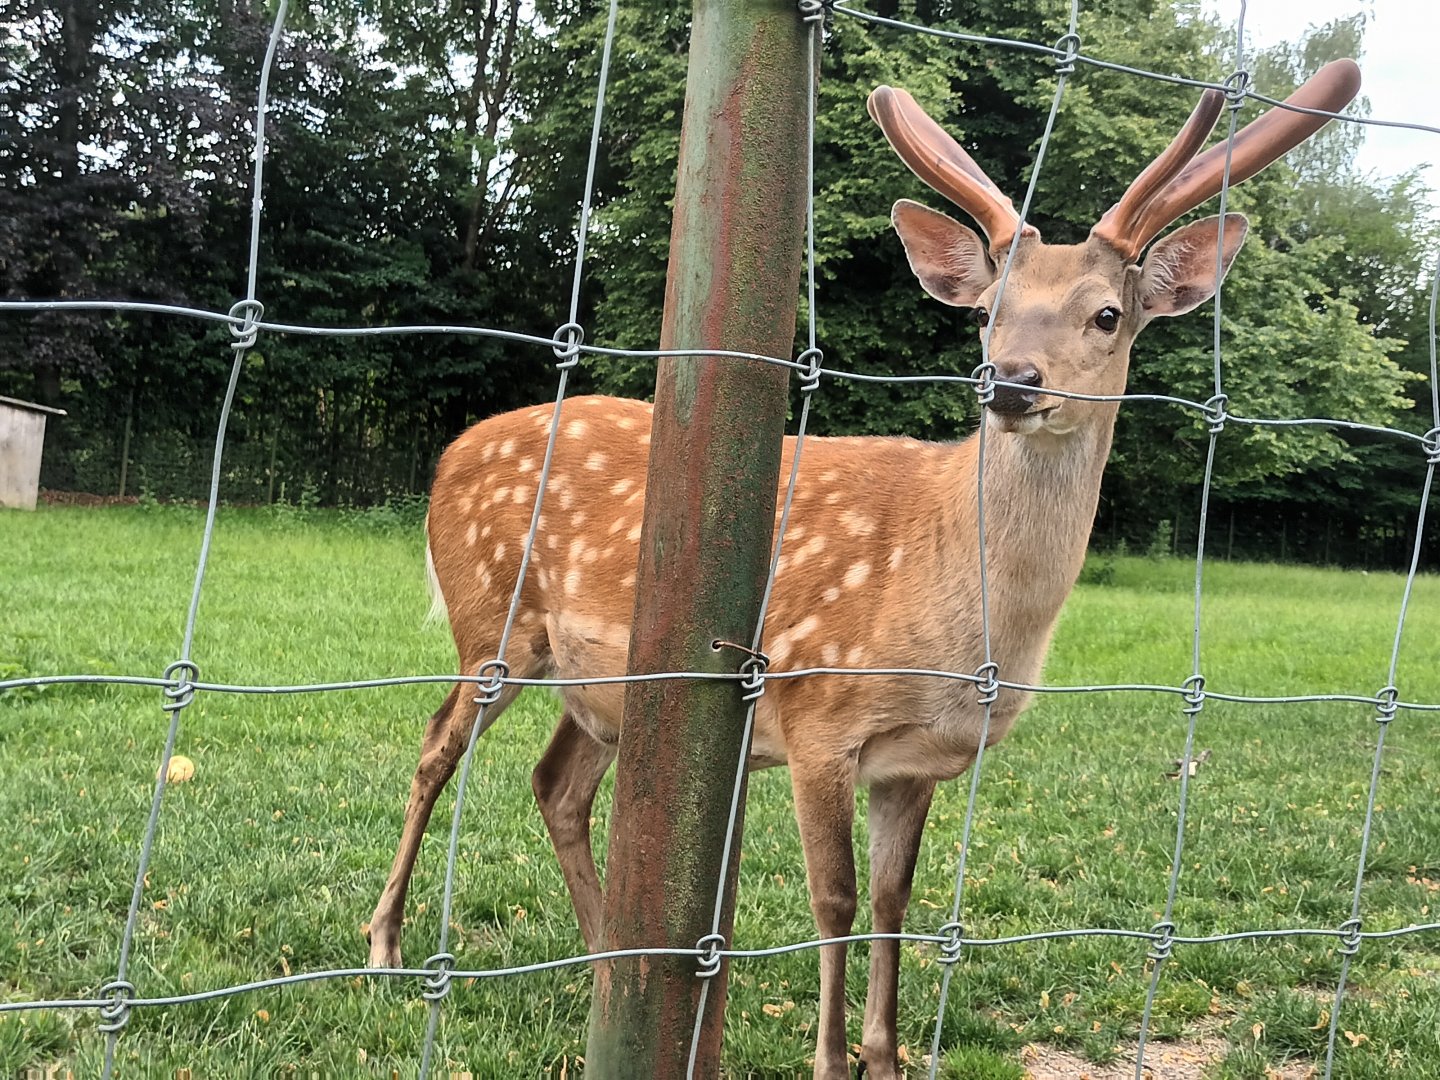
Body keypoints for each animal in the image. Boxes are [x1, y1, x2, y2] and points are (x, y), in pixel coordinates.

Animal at [367, 61, 1360, 1079]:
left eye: (1108, 314)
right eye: (988, 313)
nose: (1013, 381)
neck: (962, 630)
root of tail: (448, 456)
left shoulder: (915, 759)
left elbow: (893, 903)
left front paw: (885, 1058)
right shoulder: (818, 712)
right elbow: (835, 901)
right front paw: (831, 1060)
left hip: (601, 684)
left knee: (555, 783)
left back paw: (610, 963)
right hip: (492, 619)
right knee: (436, 747)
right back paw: (389, 946)